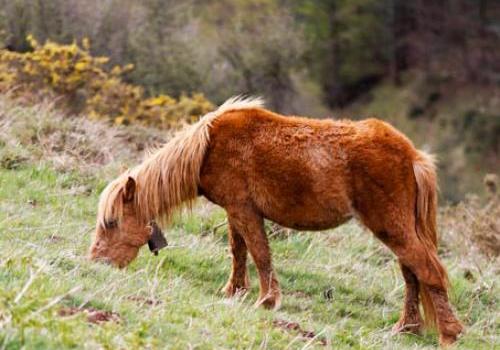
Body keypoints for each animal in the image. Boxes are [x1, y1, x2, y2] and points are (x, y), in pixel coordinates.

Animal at [90, 97, 464, 346]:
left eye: (111, 222)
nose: (96, 262)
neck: (209, 146)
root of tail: (413, 156)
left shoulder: (244, 210)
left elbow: (259, 253)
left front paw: (266, 300)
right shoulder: (235, 211)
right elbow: (239, 251)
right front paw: (234, 292)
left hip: (392, 227)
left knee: (428, 272)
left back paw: (448, 335)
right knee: (412, 275)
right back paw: (406, 328)